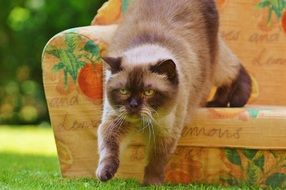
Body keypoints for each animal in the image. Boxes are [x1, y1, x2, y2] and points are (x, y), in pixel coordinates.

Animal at [95, 0, 250, 185]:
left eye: (148, 92)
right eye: (124, 91)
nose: (133, 105)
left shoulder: (166, 133)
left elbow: (156, 162)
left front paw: (152, 184)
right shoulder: (115, 121)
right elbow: (109, 149)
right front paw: (105, 174)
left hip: (211, 63)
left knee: (230, 70)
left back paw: (227, 103)